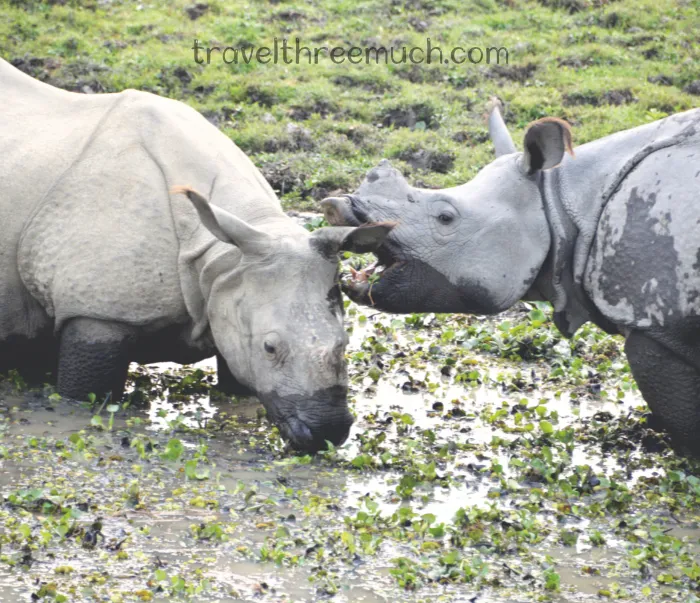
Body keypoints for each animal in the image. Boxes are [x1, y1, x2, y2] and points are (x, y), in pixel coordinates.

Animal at [0, 58, 393, 452]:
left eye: (345, 344)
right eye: (269, 348)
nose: (327, 432)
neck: (223, 253)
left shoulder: (231, 282)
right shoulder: (97, 309)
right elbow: (87, 395)